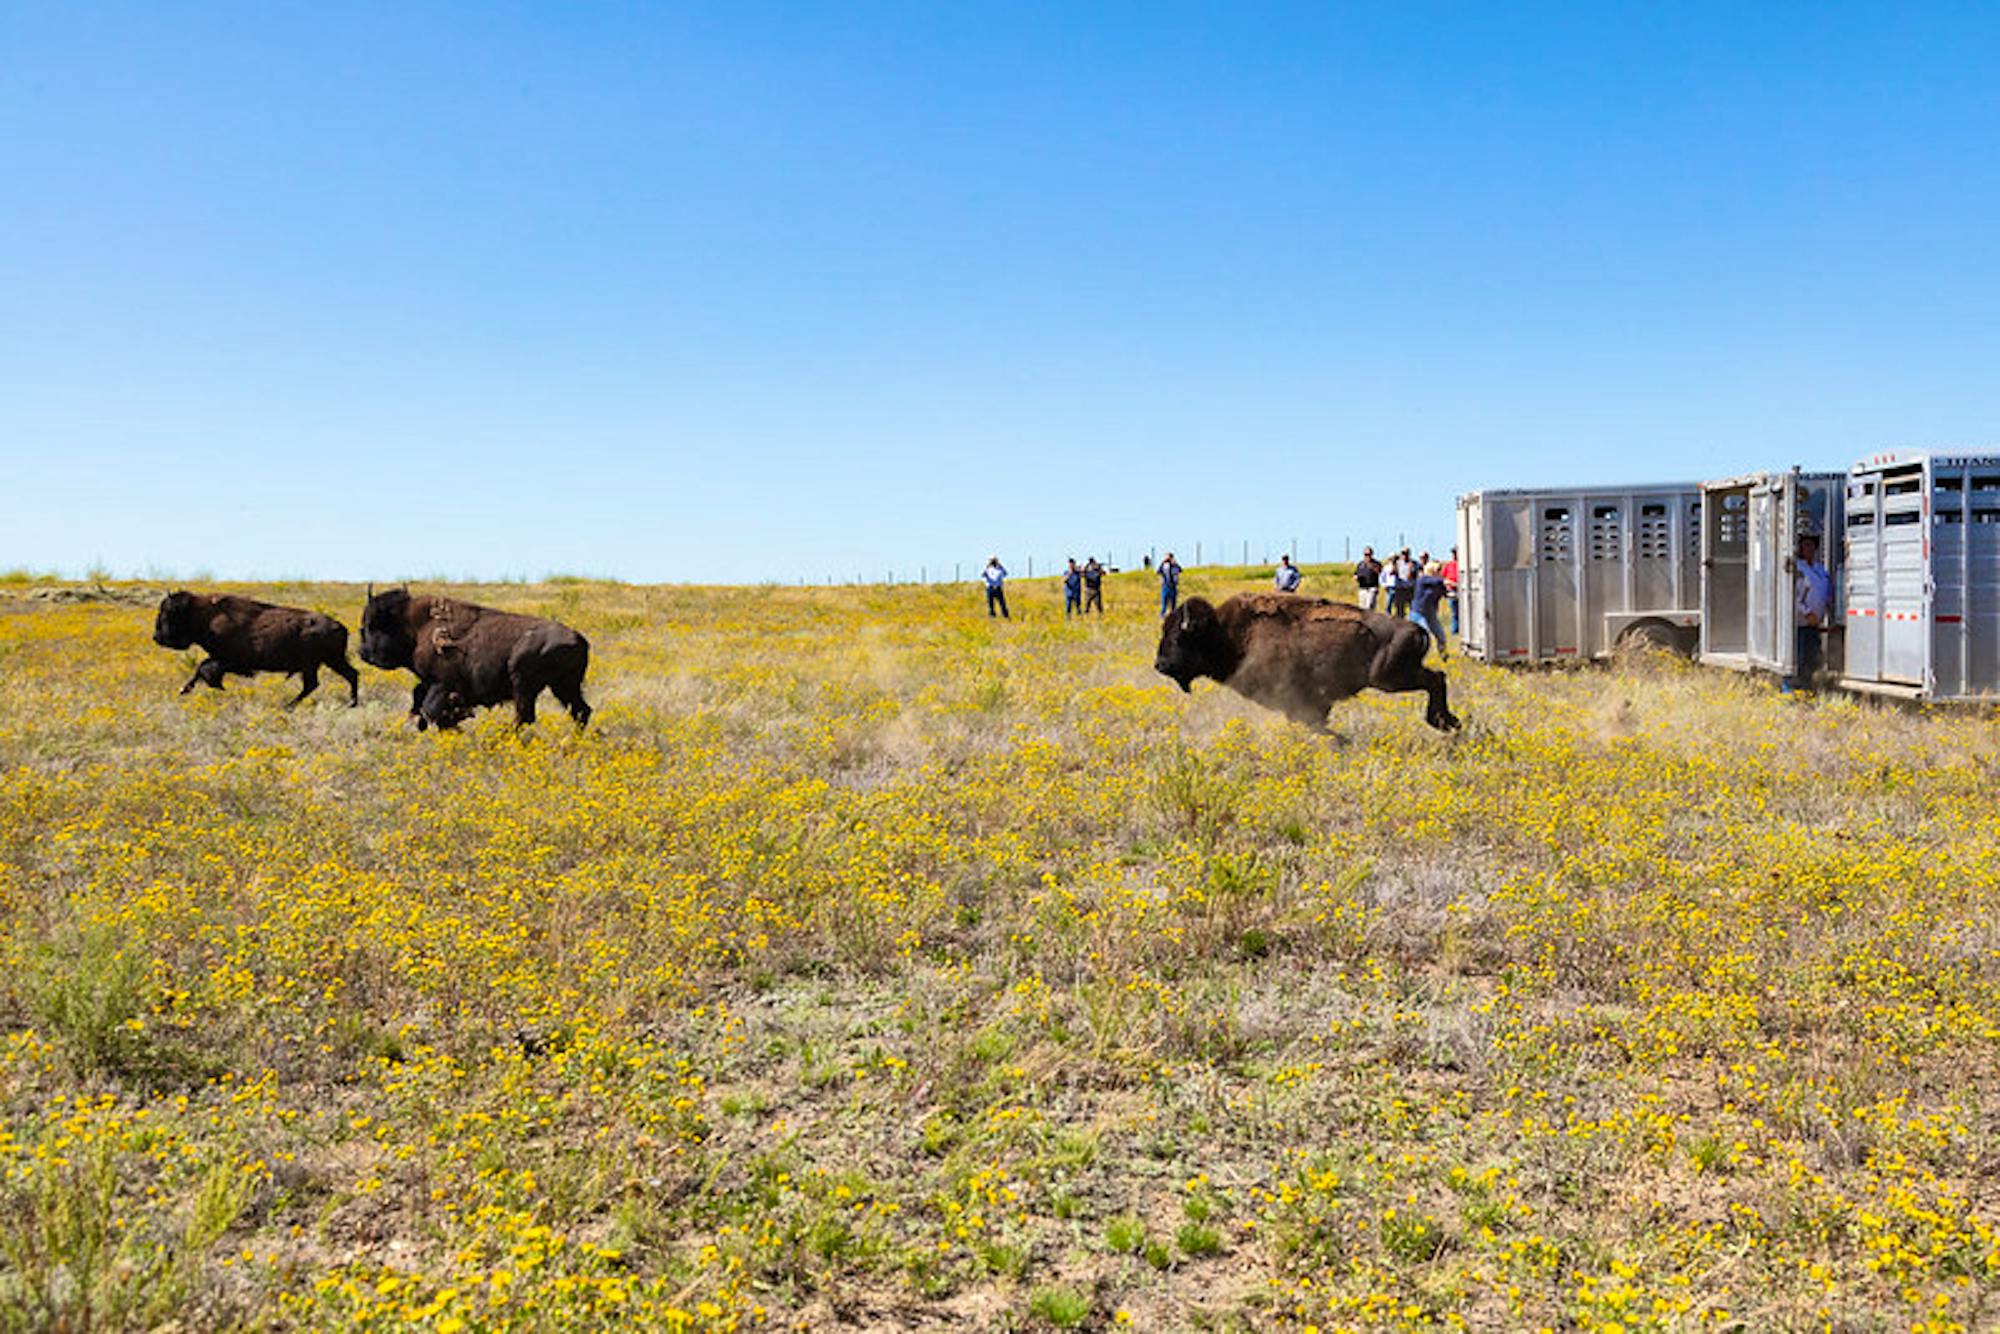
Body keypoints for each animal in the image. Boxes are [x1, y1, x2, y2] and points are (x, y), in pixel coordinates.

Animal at [153, 591, 360, 706]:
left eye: (168, 614)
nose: (156, 637)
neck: (204, 616)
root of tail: (340, 626)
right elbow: (200, 670)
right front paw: (184, 690)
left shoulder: (226, 660)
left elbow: (203, 668)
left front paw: (215, 686)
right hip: (324, 663)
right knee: (339, 677)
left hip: (325, 662)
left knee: (334, 679)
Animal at [359, 588, 591, 730]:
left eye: (372, 625)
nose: (363, 653)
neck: (415, 628)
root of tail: (579, 638)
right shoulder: (428, 685)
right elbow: (420, 703)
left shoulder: (440, 684)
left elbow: (429, 710)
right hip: (563, 686)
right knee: (581, 711)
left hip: (524, 683)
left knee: (525, 716)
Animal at [1154, 592, 1460, 733]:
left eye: (1178, 638)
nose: (1159, 665)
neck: (1227, 634)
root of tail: (1416, 628)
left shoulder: (1301, 699)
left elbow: (1315, 723)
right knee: (1438, 677)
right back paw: (1448, 722)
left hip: (1390, 679)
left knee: (1436, 679)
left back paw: (1443, 722)